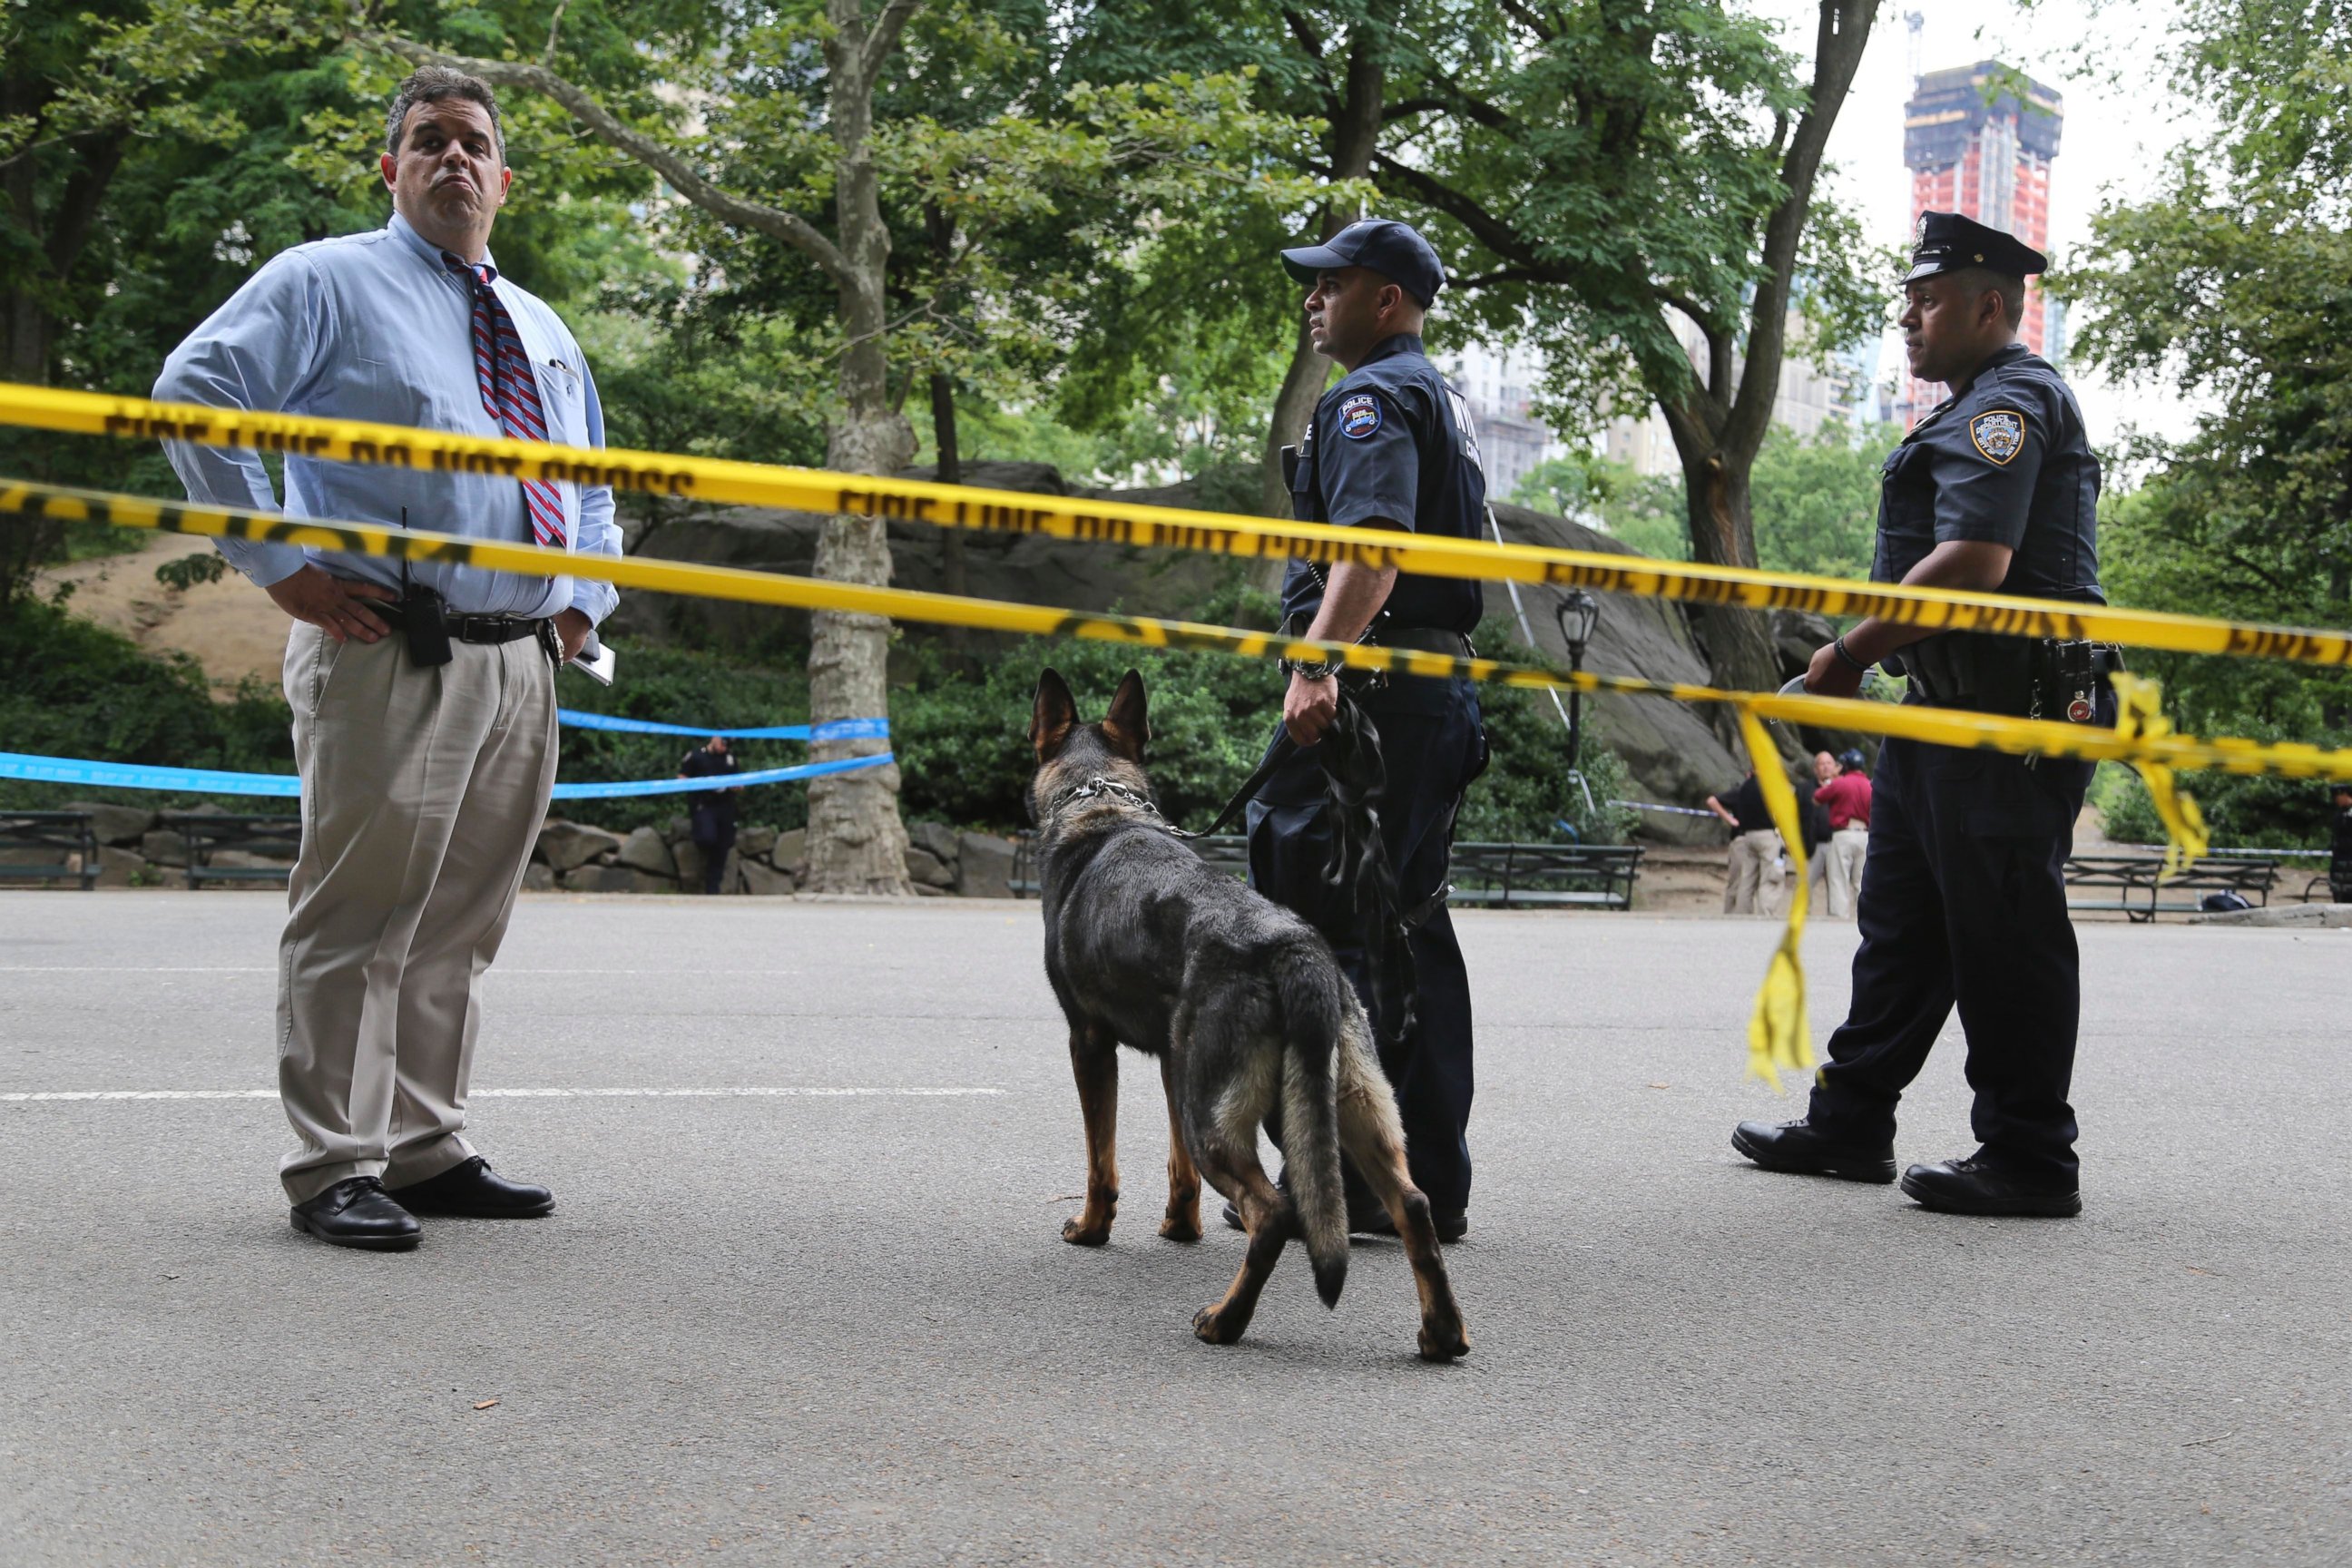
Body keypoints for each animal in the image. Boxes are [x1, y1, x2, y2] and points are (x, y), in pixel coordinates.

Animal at [1030, 667, 1467, 1363]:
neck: (1100, 806)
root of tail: (1294, 947)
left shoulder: (1089, 1045)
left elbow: (1102, 1160)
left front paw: (1093, 1228)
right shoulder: (1173, 1063)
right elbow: (1177, 1170)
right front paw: (1180, 1227)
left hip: (1223, 1119)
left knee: (1273, 1213)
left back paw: (1226, 1320)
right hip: (1344, 1107)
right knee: (1414, 1205)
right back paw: (1443, 1331)